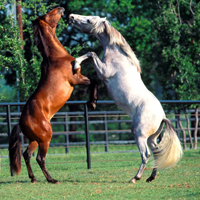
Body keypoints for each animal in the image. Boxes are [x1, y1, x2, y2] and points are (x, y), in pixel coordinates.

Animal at [8, 7, 97, 183]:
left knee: (26, 155)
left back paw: (34, 179)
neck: (56, 57)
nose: (61, 8)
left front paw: (92, 102)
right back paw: (51, 179)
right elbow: (94, 78)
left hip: (35, 140)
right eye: (49, 13)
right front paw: (92, 102)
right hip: (45, 138)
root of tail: (21, 122)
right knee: (39, 158)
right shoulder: (76, 79)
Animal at [69, 13, 183, 183]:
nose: (71, 16)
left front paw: (76, 63)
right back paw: (150, 177)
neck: (119, 55)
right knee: (156, 153)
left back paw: (136, 178)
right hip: (151, 138)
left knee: (146, 154)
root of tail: (162, 116)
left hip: (139, 134)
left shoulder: (104, 71)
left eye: (89, 20)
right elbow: (90, 54)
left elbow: (91, 53)